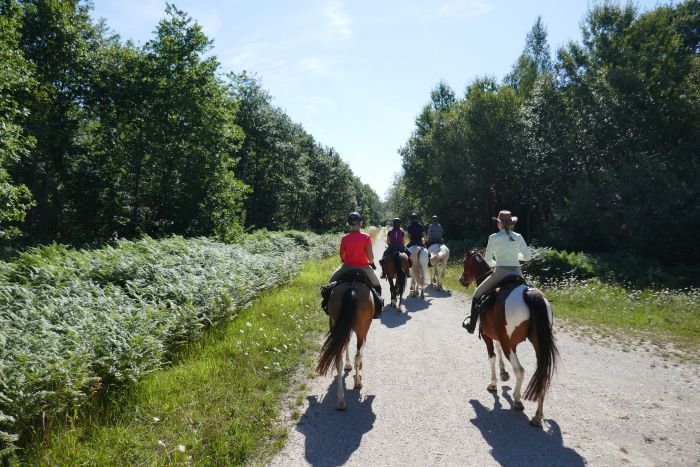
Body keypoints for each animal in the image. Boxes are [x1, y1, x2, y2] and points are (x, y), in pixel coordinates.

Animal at [314, 282, 374, 410]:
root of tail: (352, 288)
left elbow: (346, 344)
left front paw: (348, 364)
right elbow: (358, 352)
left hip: (336, 323)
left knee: (338, 360)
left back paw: (341, 400)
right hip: (362, 330)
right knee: (357, 356)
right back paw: (357, 383)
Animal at [460, 250, 556, 426]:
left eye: (465, 262)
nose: (461, 280)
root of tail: (528, 293)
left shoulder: (487, 335)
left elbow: (491, 356)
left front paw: (493, 383)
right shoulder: (498, 334)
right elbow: (497, 351)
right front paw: (503, 373)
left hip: (509, 345)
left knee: (520, 370)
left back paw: (517, 401)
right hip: (538, 345)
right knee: (543, 375)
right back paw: (538, 416)